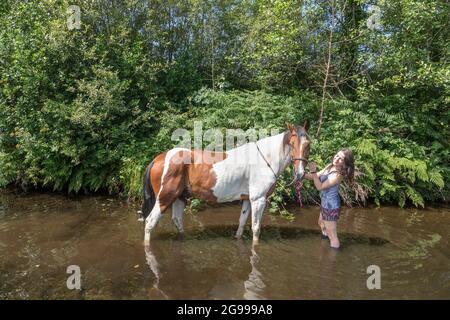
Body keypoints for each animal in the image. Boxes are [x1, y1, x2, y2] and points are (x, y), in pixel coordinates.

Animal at [141, 122, 310, 245]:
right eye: (292, 143)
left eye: (308, 144)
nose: (300, 173)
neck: (265, 159)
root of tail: (159, 158)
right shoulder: (259, 199)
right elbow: (256, 229)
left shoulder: (247, 199)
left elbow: (241, 224)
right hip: (165, 198)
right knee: (149, 223)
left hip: (179, 197)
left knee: (177, 222)